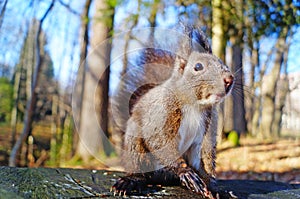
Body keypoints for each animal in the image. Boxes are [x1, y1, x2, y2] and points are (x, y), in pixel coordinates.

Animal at [110, 25, 234, 198]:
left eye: (222, 63)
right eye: (198, 67)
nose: (229, 80)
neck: (195, 105)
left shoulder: (206, 129)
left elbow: (205, 157)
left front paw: (213, 187)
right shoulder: (162, 114)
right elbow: (159, 141)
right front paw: (185, 172)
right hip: (135, 146)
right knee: (139, 169)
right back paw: (131, 180)